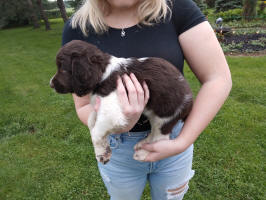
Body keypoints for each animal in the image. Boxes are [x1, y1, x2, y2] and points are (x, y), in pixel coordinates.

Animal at [50, 39, 192, 164]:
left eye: (63, 69)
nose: (51, 84)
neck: (104, 74)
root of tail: (190, 100)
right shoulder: (101, 105)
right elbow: (92, 122)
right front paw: (103, 150)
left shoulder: (112, 112)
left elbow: (95, 132)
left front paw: (101, 154)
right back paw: (142, 144)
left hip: (166, 116)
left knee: (160, 139)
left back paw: (143, 154)